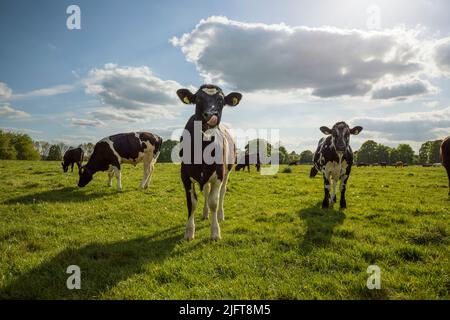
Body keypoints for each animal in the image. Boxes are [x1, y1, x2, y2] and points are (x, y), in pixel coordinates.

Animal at [176, 85, 243, 240]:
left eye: (221, 100)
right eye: (198, 98)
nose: (211, 115)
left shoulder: (219, 174)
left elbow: (214, 201)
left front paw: (215, 232)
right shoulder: (185, 175)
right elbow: (192, 203)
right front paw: (189, 231)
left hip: (226, 172)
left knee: (222, 193)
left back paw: (220, 215)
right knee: (206, 190)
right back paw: (205, 213)